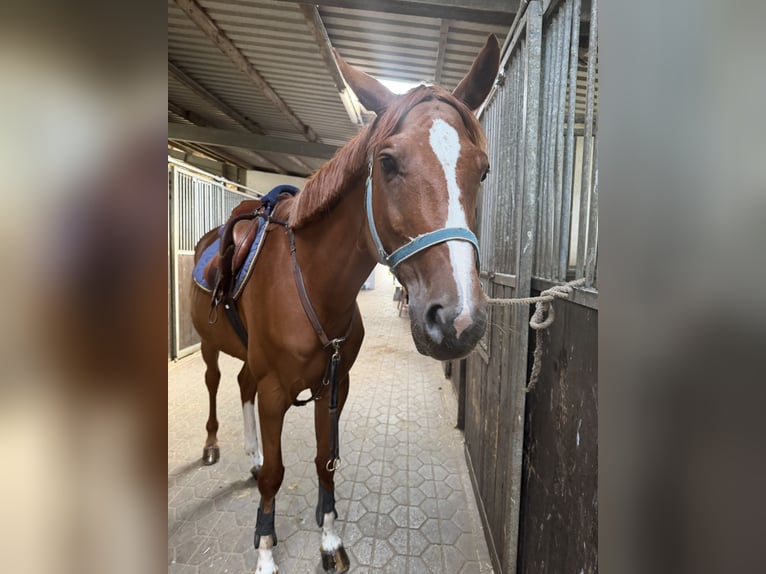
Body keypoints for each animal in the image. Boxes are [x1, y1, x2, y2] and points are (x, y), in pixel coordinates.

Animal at [189, 35, 500, 574]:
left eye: (482, 171)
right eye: (388, 163)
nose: (457, 321)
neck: (312, 286)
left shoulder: (334, 386)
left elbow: (324, 462)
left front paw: (329, 540)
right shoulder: (276, 393)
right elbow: (277, 474)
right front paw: (266, 550)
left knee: (242, 385)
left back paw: (249, 454)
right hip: (210, 345)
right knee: (213, 383)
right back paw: (214, 446)